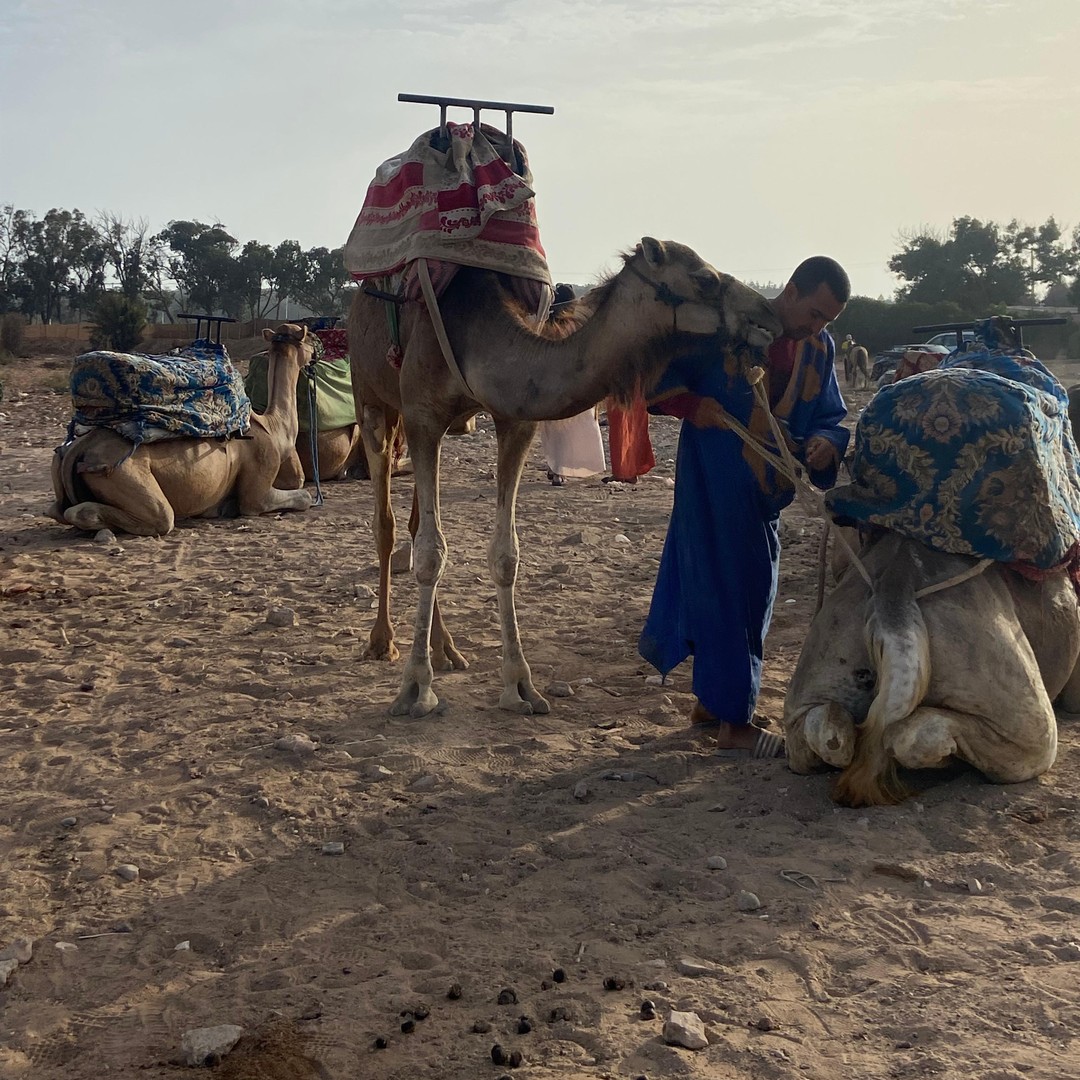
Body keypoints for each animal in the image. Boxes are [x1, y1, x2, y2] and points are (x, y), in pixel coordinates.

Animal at [48, 323, 315, 536]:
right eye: (309, 339)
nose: (316, 350)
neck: (273, 427)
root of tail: (80, 447)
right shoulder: (259, 484)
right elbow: (303, 497)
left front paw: (223, 507)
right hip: (120, 472)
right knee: (160, 517)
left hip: (60, 464)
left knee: (56, 509)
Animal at [349, 237, 782, 717]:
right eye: (705, 278)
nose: (770, 315)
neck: (477, 333)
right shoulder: (422, 414)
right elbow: (429, 553)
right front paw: (415, 689)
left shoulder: (514, 418)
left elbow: (505, 554)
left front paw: (520, 686)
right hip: (373, 399)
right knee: (386, 524)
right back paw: (383, 641)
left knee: (414, 524)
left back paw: (447, 650)